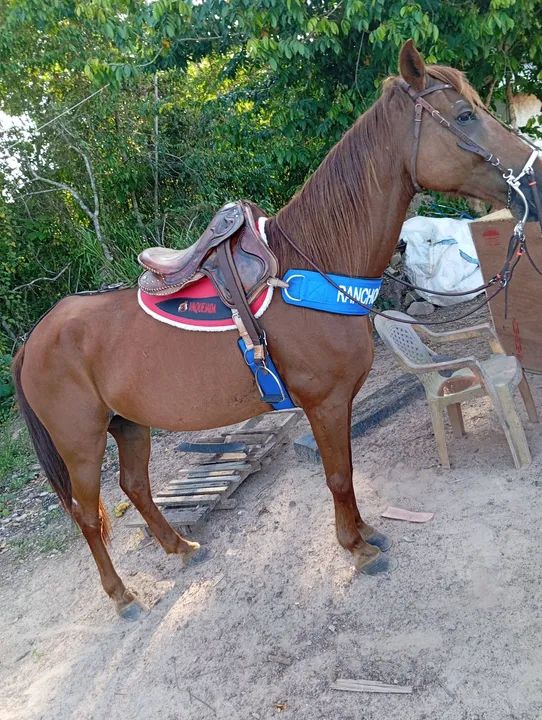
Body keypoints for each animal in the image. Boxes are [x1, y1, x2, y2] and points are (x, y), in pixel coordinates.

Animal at [12, 41, 542, 618]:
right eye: (465, 116)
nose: (535, 181)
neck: (314, 267)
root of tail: (33, 341)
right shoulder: (324, 402)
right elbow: (338, 476)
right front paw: (356, 550)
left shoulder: (337, 403)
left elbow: (346, 473)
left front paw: (366, 533)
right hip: (82, 443)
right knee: (89, 516)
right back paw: (123, 596)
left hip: (128, 424)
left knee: (136, 487)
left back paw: (182, 547)